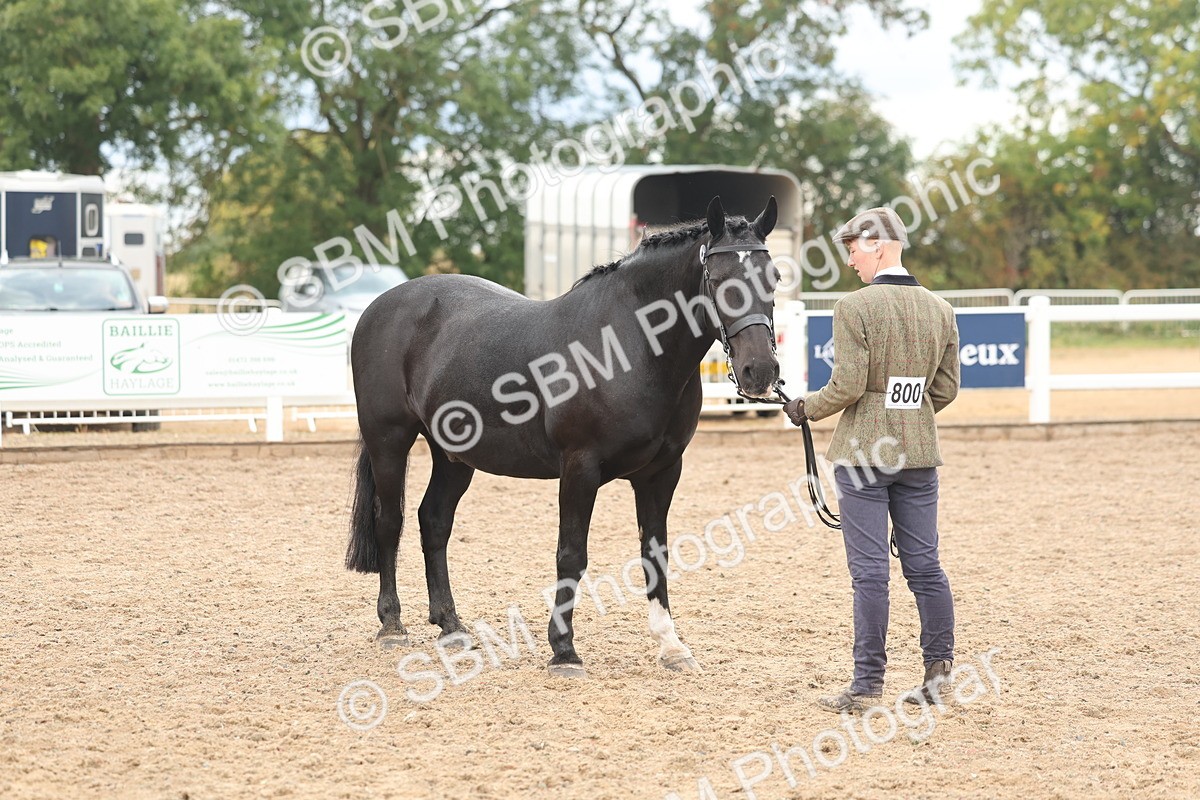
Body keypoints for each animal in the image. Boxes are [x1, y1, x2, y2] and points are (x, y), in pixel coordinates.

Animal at [345, 195, 781, 676]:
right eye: (718, 279)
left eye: (774, 278)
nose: (760, 371)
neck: (628, 348)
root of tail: (380, 307)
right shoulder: (580, 468)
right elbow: (571, 553)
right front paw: (564, 650)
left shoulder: (662, 473)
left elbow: (655, 554)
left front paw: (671, 646)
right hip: (389, 441)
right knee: (390, 521)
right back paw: (392, 625)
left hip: (454, 457)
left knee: (434, 522)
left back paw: (451, 625)